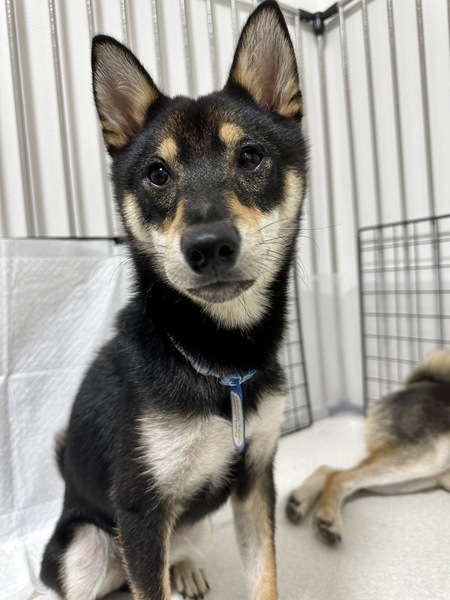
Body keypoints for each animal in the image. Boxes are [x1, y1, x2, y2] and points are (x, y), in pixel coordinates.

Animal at [39, 2, 307, 598]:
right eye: (157, 174)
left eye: (250, 157)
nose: (208, 246)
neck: (218, 362)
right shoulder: (140, 510)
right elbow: (151, 581)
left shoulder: (256, 478)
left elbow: (265, 576)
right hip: (84, 546)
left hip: (194, 523)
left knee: (177, 548)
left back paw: (184, 567)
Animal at [286, 349, 450, 546]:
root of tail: (418, 385)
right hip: (428, 459)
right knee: (339, 476)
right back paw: (327, 519)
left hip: (412, 478)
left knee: (329, 469)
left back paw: (300, 500)